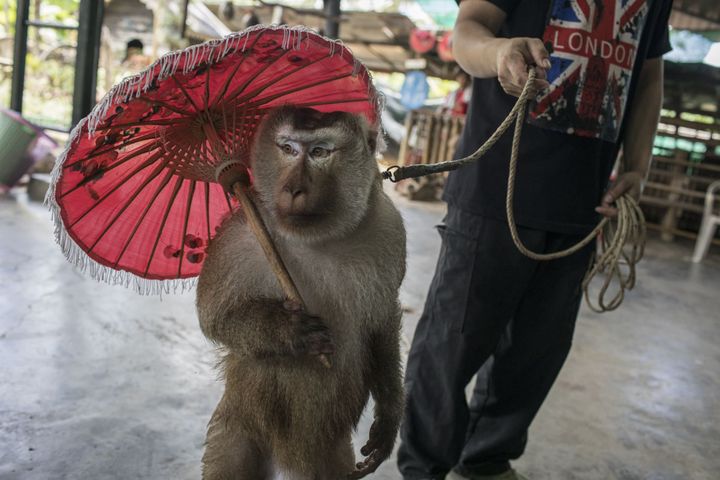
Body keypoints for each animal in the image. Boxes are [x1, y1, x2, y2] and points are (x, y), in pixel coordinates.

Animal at [195, 106, 404, 480]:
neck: (318, 238)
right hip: (238, 422)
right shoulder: (238, 236)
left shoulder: (388, 229)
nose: (293, 188)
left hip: (329, 456)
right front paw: (287, 330)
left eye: (319, 152)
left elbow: (382, 320)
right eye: (288, 149)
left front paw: (389, 417)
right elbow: (214, 316)